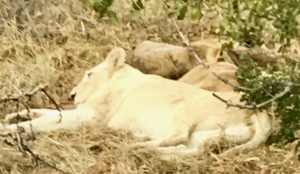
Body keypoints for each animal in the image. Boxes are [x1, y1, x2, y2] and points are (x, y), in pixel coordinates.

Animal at [0, 47, 272, 156]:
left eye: (89, 74)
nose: (72, 95)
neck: (120, 76)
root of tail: (262, 111)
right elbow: (46, 113)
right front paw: (14, 117)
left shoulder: (91, 116)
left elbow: (48, 123)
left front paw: (10, 130)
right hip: (211, 135)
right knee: (190, 149)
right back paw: (150, 150)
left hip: (185, 106)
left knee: (178, 136)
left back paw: (136, 144)